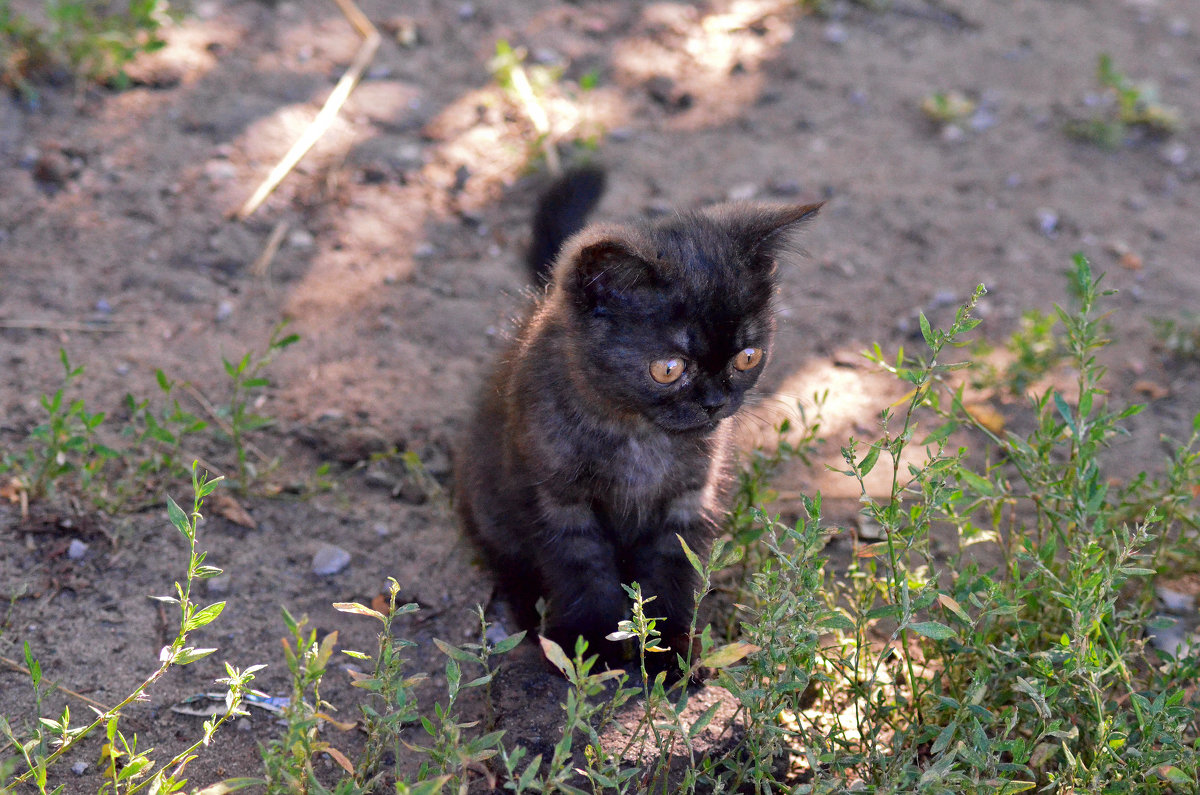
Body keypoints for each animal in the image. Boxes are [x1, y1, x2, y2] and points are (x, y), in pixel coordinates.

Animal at [453, 169, 820, 672]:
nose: (714, 402)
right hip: (488, 503)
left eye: (748, 357)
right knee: (508, 561)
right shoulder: (559, 500)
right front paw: (588, 650)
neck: (639, 437)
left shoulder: (689, 498)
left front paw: (670, 651)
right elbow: (581, 570)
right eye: (668, 368)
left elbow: (672, 571)